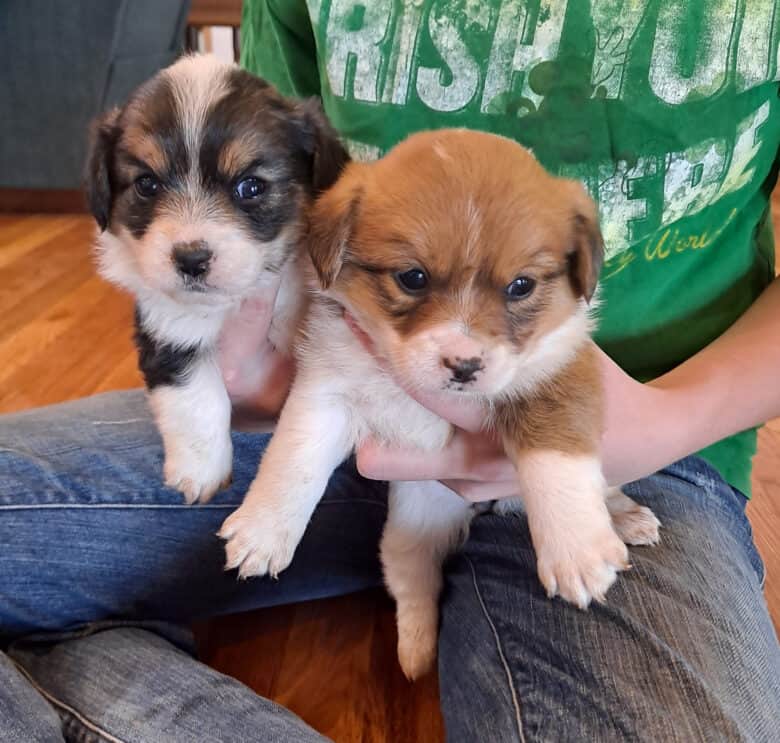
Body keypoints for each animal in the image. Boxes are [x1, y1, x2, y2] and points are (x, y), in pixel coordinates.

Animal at [84, 55, 348, 502]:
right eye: (147, 184)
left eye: (251, 186)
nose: (191, 259)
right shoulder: (168, 328)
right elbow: (195, 396)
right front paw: (200, 471)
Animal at [218, 129, 660, 680]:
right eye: (413, 278)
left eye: (521, 286)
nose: (464, 365)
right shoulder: (328, 391)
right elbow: (294, 464)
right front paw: (263, 530)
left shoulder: (559, 375)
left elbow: (557, 462)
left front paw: (575, 549)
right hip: (410, 532)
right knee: (414, 581)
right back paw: (417, 649)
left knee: (608, 486)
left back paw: (626, 518)